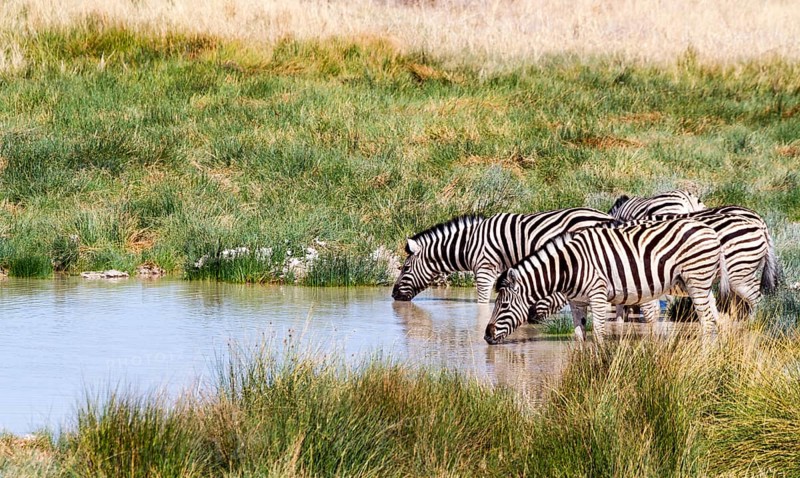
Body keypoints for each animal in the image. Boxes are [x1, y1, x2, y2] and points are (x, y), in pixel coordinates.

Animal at [391, 208, 614, 304]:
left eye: (405, 268)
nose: (393, 296)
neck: (469, 243)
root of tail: (608, 215)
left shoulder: (484, 269)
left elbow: (482, 302)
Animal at [484, 218, 730, 344]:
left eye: (503, 305)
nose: (486, 336)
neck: (568, 267)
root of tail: (709, 229)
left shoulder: (598, 294)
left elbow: (600, 333)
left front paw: (599, 367)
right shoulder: (577, 301)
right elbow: (579, 335)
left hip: (696, 281)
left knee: (707, 322)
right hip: (699, 284)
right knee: (714, 318)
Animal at [529, 206, 779, 325]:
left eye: (542, 289)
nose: (530, 318)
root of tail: (759, 222)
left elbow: (648, 314)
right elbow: (620, 316)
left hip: (739, 271)